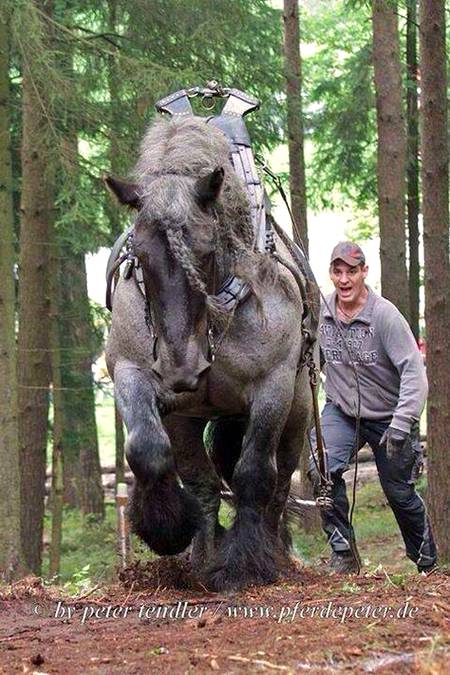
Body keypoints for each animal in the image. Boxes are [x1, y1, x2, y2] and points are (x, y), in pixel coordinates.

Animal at [105, 115, 314, 591]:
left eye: (204, 250)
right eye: (140, 256)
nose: (181, 370)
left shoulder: (273, 385)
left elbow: (255, 473)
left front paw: (242, 565)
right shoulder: (133, 372)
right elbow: (148, 449)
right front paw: (166, 528)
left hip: (298, 411)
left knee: (279, 479)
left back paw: (272, 551)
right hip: (192, 416)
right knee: (202, 480)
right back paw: (203, 553)